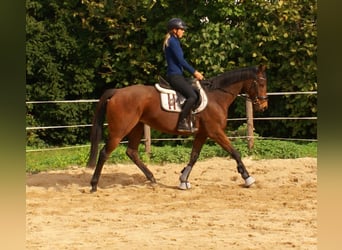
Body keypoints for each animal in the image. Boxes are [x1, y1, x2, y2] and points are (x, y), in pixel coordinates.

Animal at [86, 64, 268, 191]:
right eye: (261, 83)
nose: (264, 105)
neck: (217, 96)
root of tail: (117, 92)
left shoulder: (202, 133)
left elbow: (194, 156)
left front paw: (183, 180)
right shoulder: (215, 132)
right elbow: (235, 152)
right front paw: (248, 178)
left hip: (137, 127)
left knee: (132, 152)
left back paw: (152, 178)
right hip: (120, 130)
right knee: (105, 153)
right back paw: (94, 185)